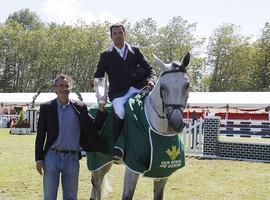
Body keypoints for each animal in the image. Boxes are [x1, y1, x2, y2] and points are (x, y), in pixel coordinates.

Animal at [88, 52, 190, 200]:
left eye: (187, 85)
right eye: (162, 87)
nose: (176, 124)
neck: (158, 128)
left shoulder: (162, 171)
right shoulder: (132, 167)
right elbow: (127, 195)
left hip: (105, 161)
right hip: (97, 159)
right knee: (96, 184)